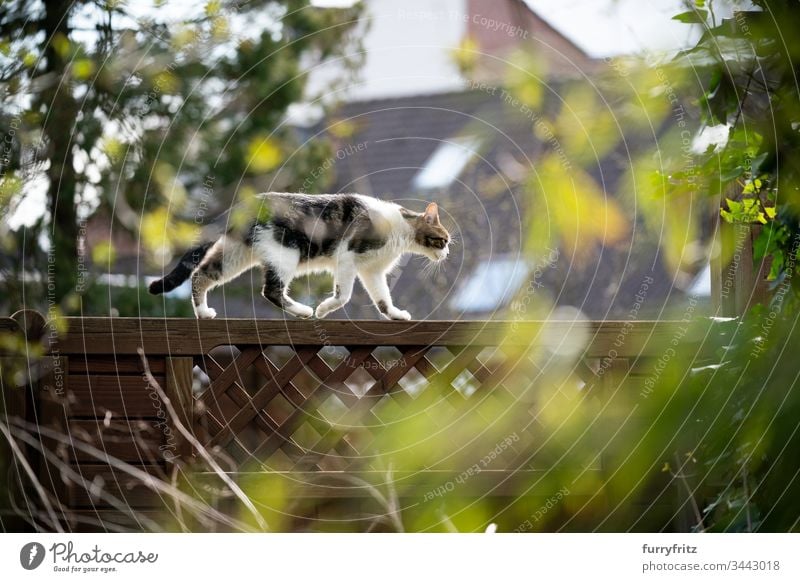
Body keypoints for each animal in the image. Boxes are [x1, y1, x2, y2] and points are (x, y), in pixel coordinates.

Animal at [148, 194, 450, 322]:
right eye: (444, 240)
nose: (447, 253)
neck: (400, 229)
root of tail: (243, 203)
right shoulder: (348, 256)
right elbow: (343, 295)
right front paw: (323, 309)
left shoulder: (372, 271)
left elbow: (383, 301)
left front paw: (396, 315)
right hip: (285, 253)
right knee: (270, 290)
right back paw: (303, 311)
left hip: (236, 255)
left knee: (201, 274)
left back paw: (203, 312)